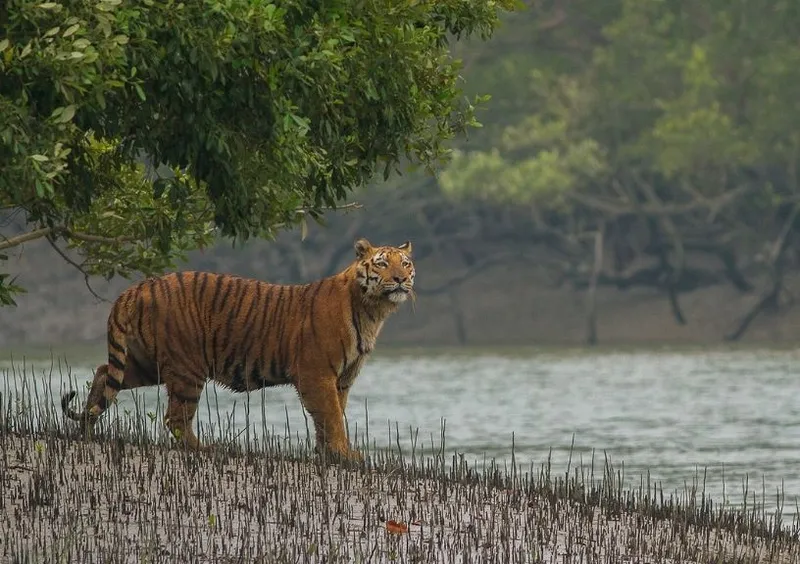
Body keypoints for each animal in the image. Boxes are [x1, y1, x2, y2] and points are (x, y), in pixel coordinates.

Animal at [59, 236, 416, 460]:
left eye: (406, 264)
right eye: (382, 264)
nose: (401, 279)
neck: (372, 310)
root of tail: (138, 287)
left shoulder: (341, 379)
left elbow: (332, 416)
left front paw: (328, 452)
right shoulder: (317, 374)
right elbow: (331, 416)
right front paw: (344, 454)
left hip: (146, 363)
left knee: (104, 373)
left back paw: (86, 430)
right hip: (187, 368)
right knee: (175, 417)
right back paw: (204, 449)